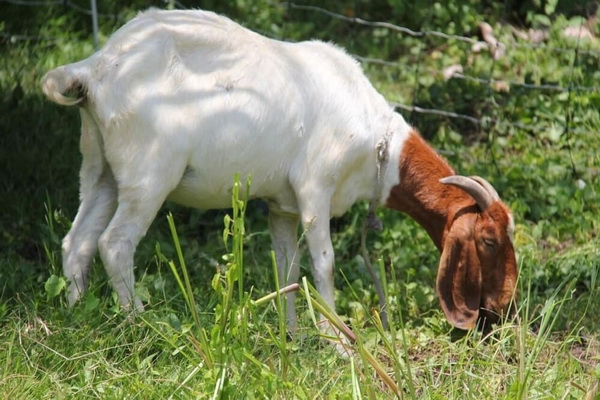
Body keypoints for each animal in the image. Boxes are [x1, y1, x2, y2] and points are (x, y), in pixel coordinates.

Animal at [44, 8, 516, 332]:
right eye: (489, 240)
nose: (505, 303)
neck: (379, 144)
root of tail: (96, 67)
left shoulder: (282, 206)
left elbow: (286, 267)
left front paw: (293, 336)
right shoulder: (314, 189)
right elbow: (324, 264)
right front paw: (337, 339)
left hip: (100, 167)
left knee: (77, 241)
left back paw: (76, 316)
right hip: (149, 174)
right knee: (114, 243)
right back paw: (139, 323)